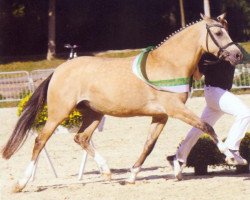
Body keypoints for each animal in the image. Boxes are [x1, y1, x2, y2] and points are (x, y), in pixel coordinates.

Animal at [1, 13, 242, 191]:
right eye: (218, 32)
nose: (238, 55)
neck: (168, 64)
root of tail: (58, 70)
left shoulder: (160, 115)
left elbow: (148, 145)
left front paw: (131, 176)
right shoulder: (175, 109)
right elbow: (206, 126)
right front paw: (232, 158)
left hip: (93, 114)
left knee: (81, 138)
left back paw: (107, 172)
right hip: (59, 113)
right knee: (40, 140)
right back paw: (21, 183)